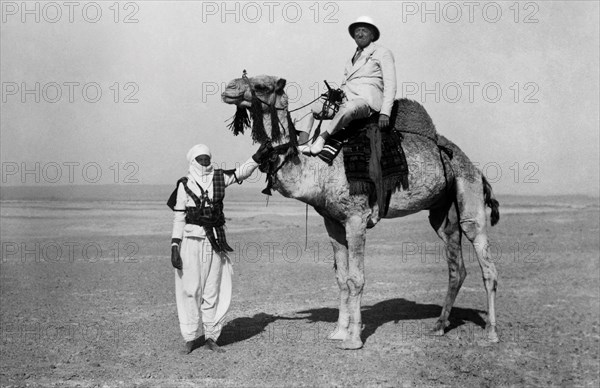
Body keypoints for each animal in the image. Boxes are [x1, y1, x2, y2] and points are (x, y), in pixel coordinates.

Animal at [223, 74, 500, 350]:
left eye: (262, 86)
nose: (228, 88)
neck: (317, 170)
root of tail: (474, 167)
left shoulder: (356, 217)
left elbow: (356, 279)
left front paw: (354, 339)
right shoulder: (333, 222)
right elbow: (341, 278)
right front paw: (337, 332)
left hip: (468, 191)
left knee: (485, 261)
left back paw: (491, 333)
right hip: (442, 209)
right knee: (456, 265)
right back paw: (439, 326)